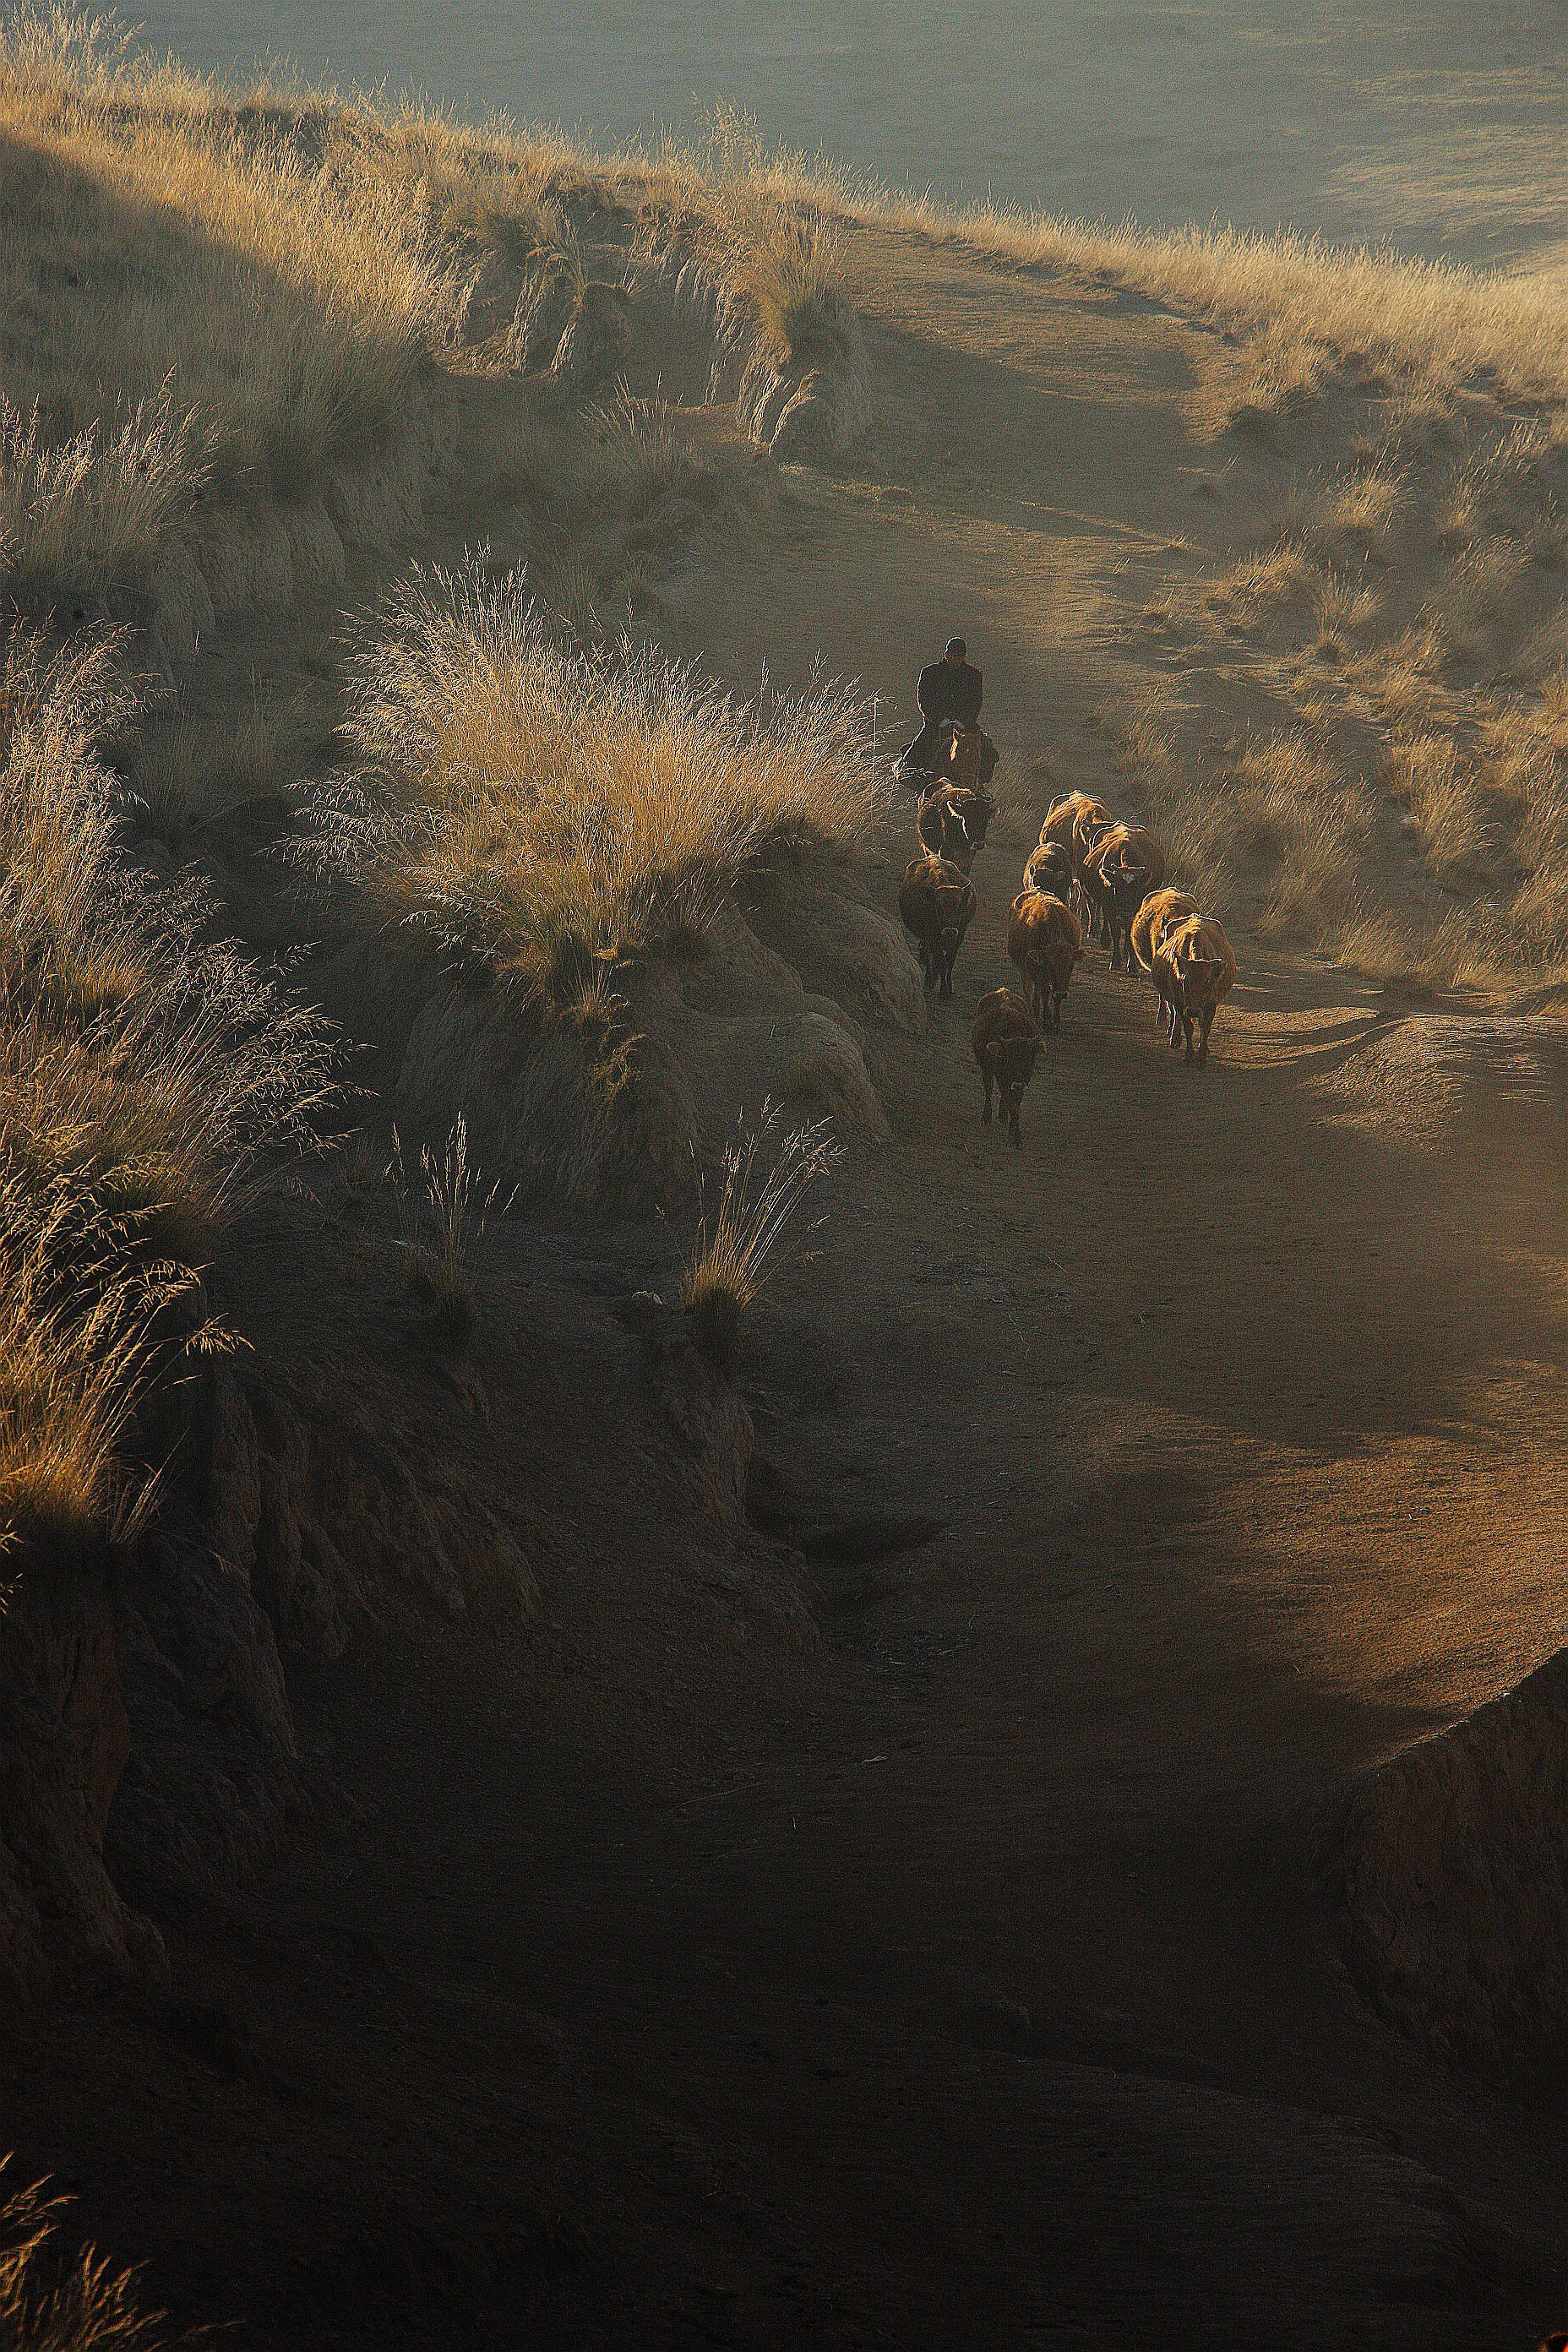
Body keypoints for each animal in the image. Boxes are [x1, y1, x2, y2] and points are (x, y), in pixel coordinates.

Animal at [902, 851, 973, 997]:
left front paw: (949, 989)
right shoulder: (933, 939)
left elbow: (948, 963)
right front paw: (943, 990)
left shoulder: (958, 938)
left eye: (960, 908)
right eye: (939, 907)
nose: (950, 931)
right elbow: (940, 962)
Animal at [968, 988, 1043, 1143]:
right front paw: (1015, 1136)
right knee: (989, 1089)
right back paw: (986, 1117)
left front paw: (1015, 1133)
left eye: (1028, 1060)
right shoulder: (1002, 1075)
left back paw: (1003, 1117)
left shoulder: (1025, 1079)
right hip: (987, 1068)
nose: (1018, 1084)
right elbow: (1010, 1101)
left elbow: (1015, 1104)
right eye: (1009, 1061)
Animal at [1010, 884, 1086, 1034]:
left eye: (1070, 965)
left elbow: (1053, 996)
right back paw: (1032, 1013)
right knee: (1029, 990)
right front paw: (1046, 1021)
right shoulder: (1036, 968)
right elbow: (1044, 991)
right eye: (1050, 964)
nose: (1062, 992)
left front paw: (1056, 1023)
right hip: (1024, 968)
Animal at [1152, 917, 1241, 1067]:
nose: (1193, 1011)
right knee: (1174, 1014)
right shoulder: (1180, 1003)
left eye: (1207, 983)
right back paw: (1175, 1038)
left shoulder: (1210, 1004)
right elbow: (1188, 1027)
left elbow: (1205, 1027)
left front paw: (1202, 1056)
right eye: (1184, 982)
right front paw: (1189, 1055)